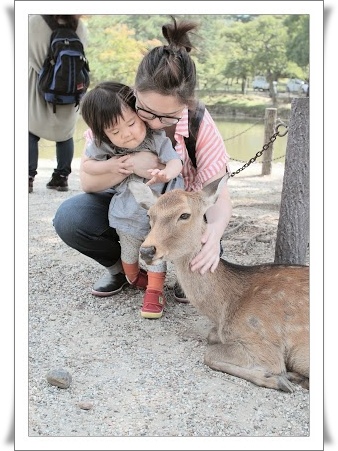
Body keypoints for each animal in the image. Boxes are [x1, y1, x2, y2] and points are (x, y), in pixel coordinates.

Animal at [129, 178, 308, 394]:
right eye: (149, 215)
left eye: (184, 214)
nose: (147, 251)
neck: (225, 309)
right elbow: (211, 337)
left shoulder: (262, 344)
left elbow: (210, 355)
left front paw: (278, 379)